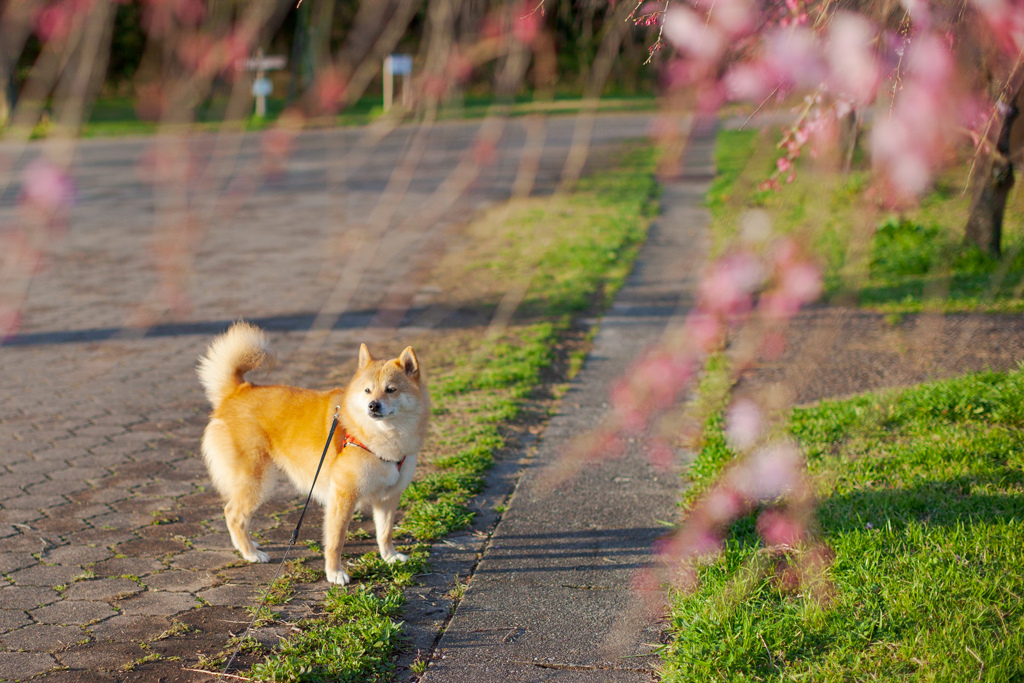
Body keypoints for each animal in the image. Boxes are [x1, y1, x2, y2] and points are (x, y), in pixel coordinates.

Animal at [199, 323, 428, 585]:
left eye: (391, 390)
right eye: (368, 390)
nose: (373, 405)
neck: (379, 439)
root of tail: (237, 391)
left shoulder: (388, 497)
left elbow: (385, 532)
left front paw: (389, 556)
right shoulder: (342, 497)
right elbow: (336, 540)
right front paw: (334, 572)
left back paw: (246, 545)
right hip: (257, 480)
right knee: (233, 514)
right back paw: (250, 553)